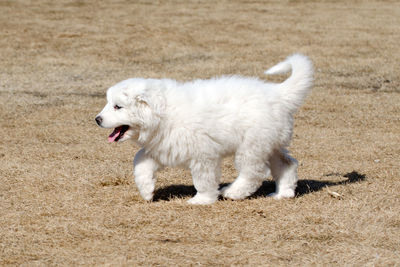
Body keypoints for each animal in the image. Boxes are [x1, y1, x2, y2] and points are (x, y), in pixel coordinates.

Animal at [96, 54, 312, 205]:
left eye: (117, 106)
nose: (97, 119)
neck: (164, 112)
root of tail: (279, 93)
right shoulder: (162, 147)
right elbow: (140, 161)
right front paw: (146, 190)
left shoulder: (203, 154)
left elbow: (204, 179)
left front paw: (202, 199)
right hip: (270, 143)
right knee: (287, 164)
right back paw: (283, 193)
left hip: (252, 145)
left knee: (253, 172)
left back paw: (232, 192)